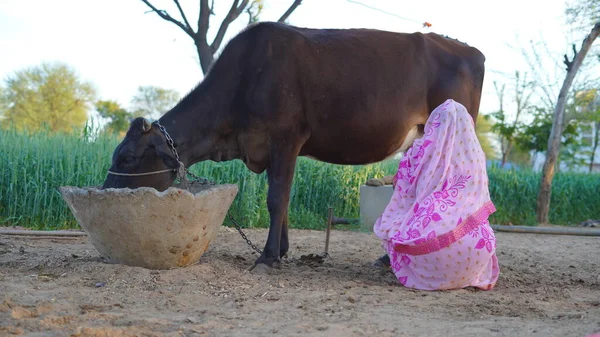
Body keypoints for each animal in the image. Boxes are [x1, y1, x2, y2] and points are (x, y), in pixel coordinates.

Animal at [103, 21, 486, 270]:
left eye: (127, 157)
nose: (104, 192)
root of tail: (467, 49)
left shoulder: (285, 137)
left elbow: (276, 198)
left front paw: (268, 257)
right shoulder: (273, 147)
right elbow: (282, 199)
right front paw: (282, 250)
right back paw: (385, 259)